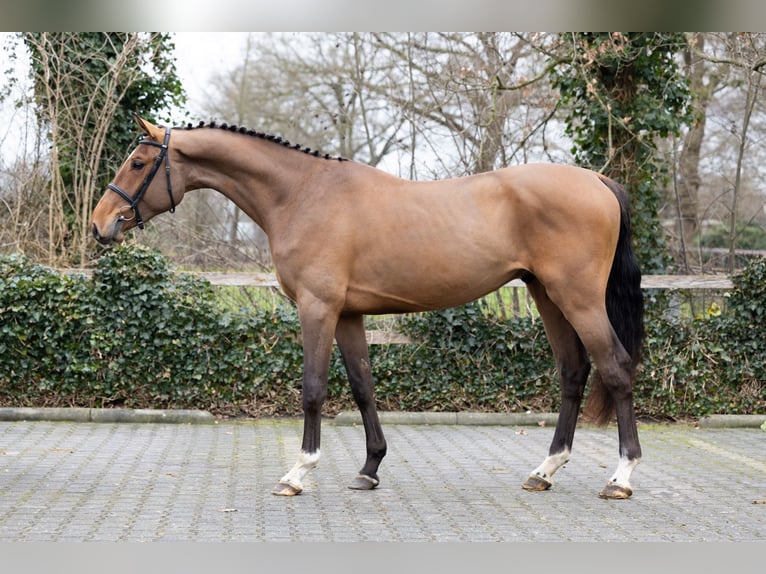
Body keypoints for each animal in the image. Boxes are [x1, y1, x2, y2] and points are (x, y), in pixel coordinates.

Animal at [91, 115, 644, 500]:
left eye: (138, 163)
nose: (101, 225)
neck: (302, 194)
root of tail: (597, 181)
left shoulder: (317, 309)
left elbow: (313, 390)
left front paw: (298, 472)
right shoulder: (348, 314)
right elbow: (362, 388)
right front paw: (369, 469)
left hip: (577, 298)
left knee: (615, 368)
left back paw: (620, 477)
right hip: (545, 295)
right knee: (573, 372)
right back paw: (544, 472)